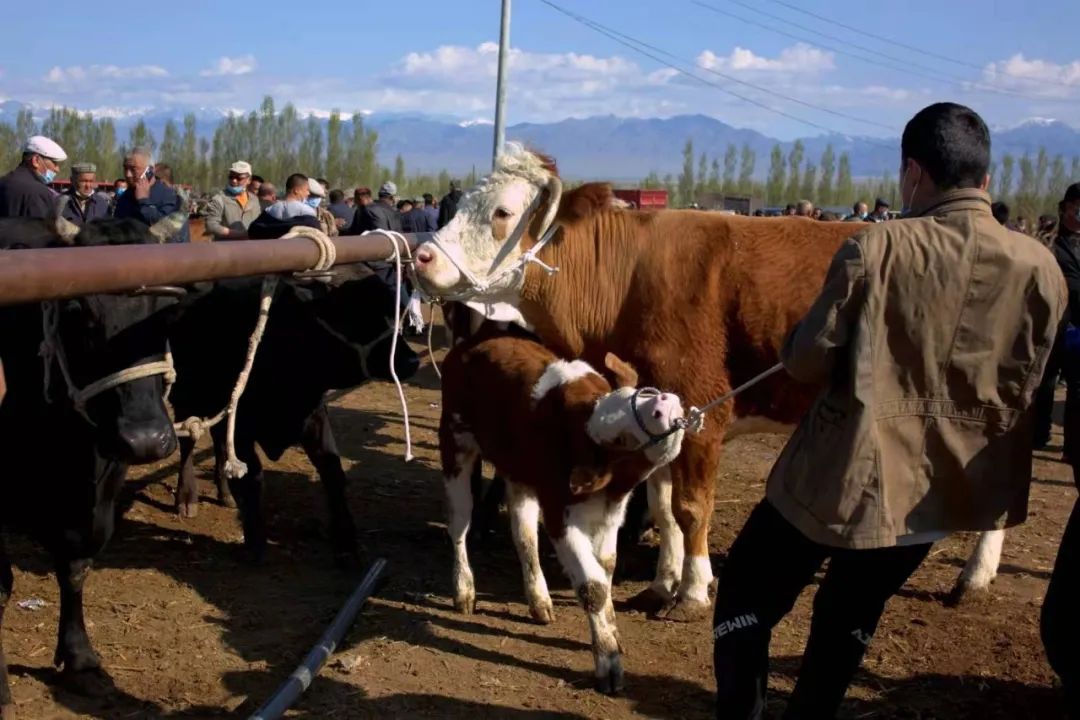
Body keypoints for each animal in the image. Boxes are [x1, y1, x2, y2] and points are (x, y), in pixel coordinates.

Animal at [0, 209, 182, 716]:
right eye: (79, 312)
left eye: (170, 312)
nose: (145, 440)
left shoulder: (100, 487)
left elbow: (76, 565)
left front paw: (80, 660)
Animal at [168, 263, 421, 561]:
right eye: (356, 310)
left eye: (395, 309)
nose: (411, 361)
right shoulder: (240, 424)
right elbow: (252, 478)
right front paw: (255, 542)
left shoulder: (313, 415)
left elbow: (332, 470)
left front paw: (346, 541)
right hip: (186, 397)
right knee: (189, 442)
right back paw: (186, 497)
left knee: (218, 445)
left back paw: (225, 492)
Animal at [412, 146, 1002, 621]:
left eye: (502, 212)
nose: (421, 255)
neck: (627, 278)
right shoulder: (655, 414)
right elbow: (664, 503)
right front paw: (661, 584)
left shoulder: (700, 415)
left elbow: (692, 507)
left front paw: (693, 593)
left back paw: (973, 578)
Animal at [438, 332, 682, 690]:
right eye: (621, 441)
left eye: (639, 394)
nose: (661, 403)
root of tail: (475, 341)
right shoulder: (559, 514)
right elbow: (593, 585)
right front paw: (608, 661)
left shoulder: (611, 515)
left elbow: (606, 568)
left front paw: (611, 632)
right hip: (455, 446)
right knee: (459, 525)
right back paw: (464, 590)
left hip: (519, 473)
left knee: (524, 534)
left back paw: (539, 600)